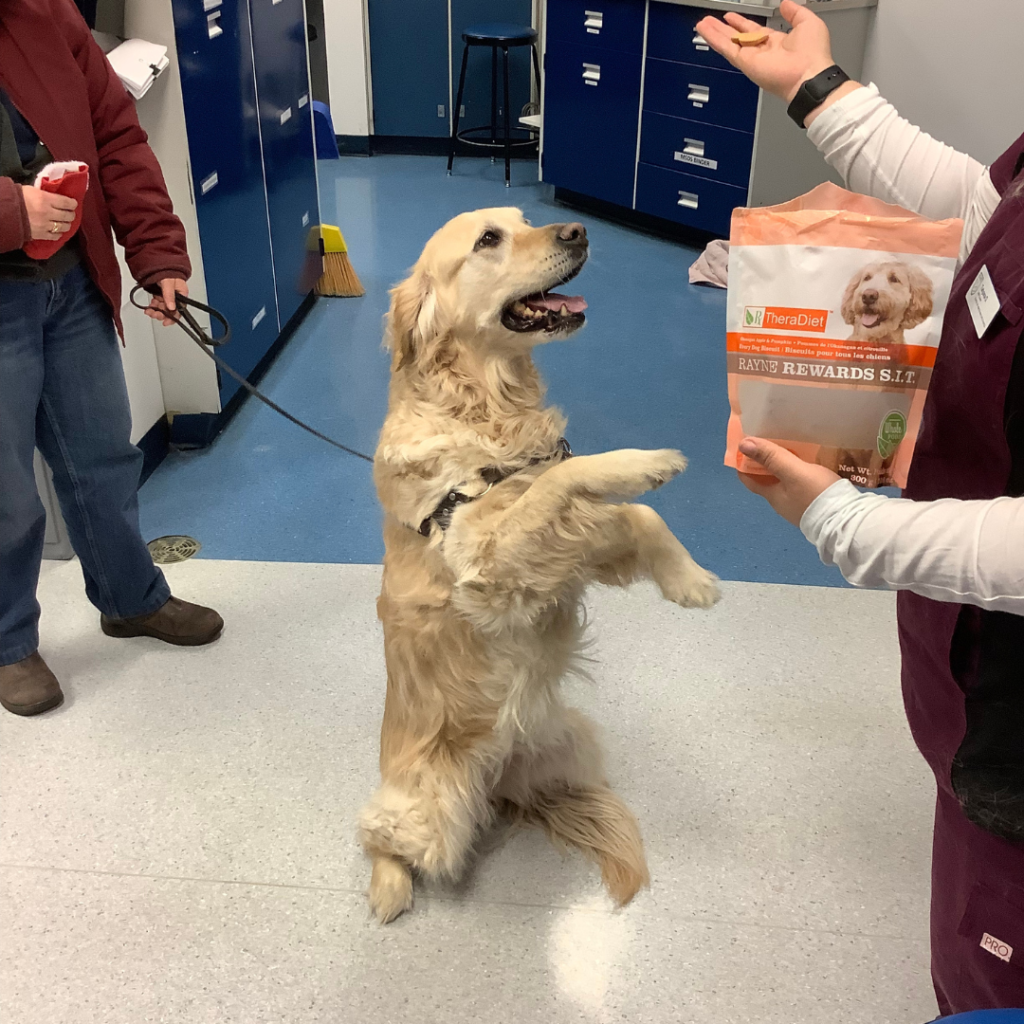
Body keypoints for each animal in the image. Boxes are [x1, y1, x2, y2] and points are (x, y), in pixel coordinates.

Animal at [360, 205, 720, 921]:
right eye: (488, 239)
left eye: (524, 219)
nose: (577, 231)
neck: (485, 406)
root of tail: (496, 778)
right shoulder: (482, 557)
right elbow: (570, 475)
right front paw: (645, 462)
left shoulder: (564, 551)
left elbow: (636, 515)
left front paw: (689, 581)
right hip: (424, 808)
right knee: (382, 839)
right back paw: (389, 888)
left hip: (571, 737)